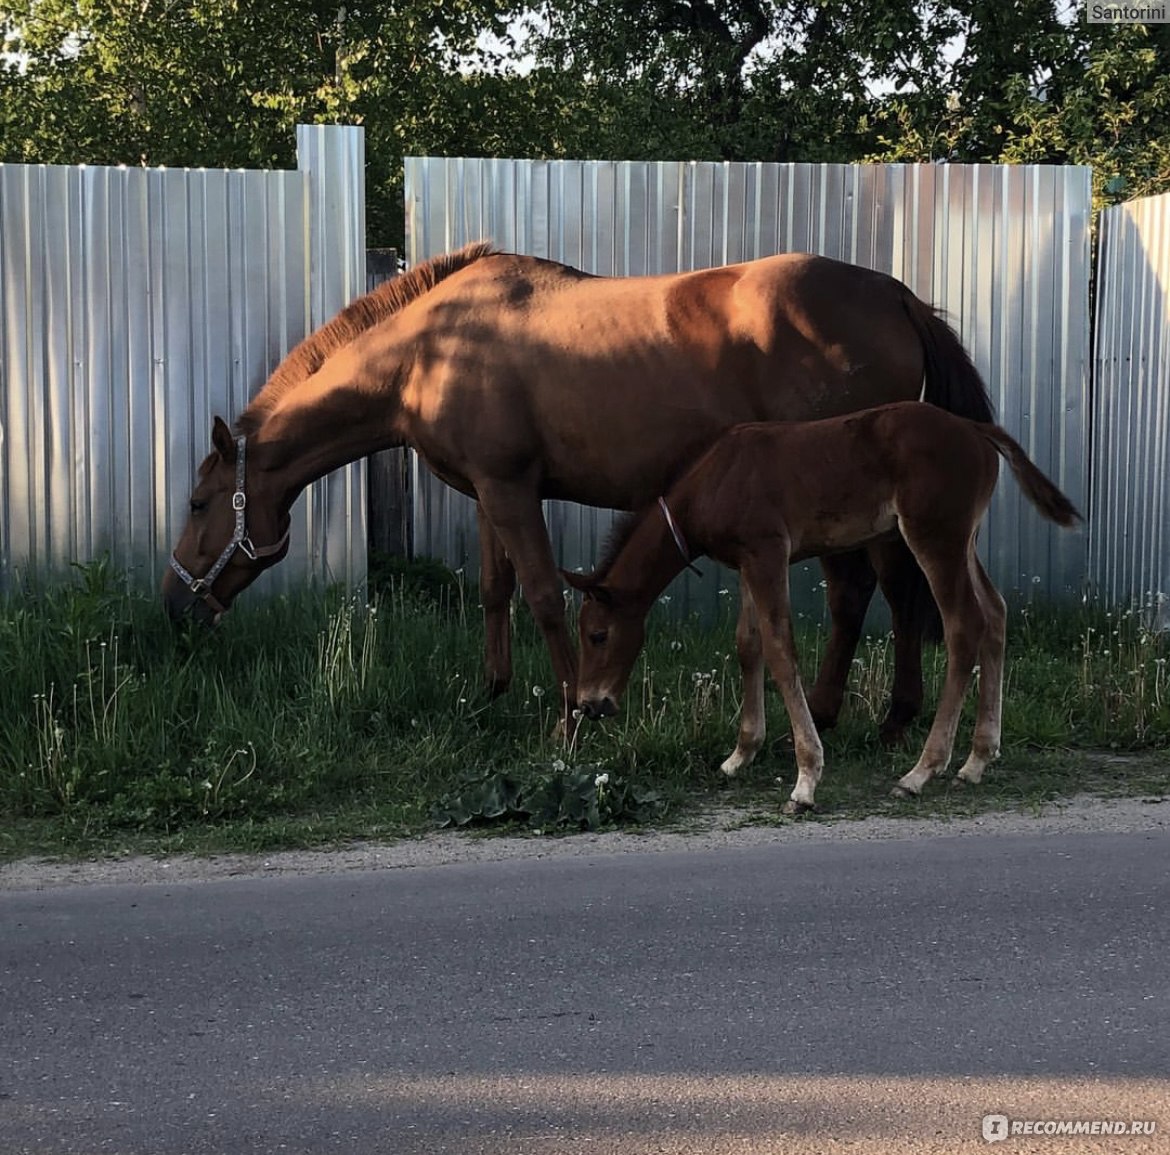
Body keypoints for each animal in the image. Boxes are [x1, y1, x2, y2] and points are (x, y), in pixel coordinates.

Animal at [160, 241, 992, 739]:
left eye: (199, 504)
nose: (173, 606)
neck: (430, 347)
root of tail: (896, 296)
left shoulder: (510, 488)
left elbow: (542, 596)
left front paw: (570, 713)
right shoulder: (488, 489)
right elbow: (495, 590)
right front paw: (491, 692)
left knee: (864, 591)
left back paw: (841, 713)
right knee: (895, 591)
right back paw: (888, 715)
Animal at [563, 404, 1076, 814]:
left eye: (597, 635)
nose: (590, 704)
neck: (714, 480)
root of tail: (975, 430)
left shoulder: (767, 552)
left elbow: (781, 651)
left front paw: (806, 781)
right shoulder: (747, 562)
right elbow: (748, 645)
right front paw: (739, 755)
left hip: (935, 535)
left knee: (964, 626)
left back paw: (920, 772)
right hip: (962, 540)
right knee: (995, 613)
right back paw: (976, 760)